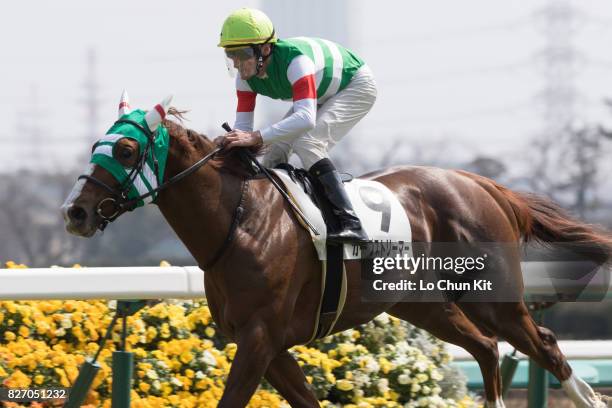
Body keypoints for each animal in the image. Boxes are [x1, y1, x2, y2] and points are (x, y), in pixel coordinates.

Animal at [63, 94, 612, 406]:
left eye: (126, 150)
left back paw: (587, 397)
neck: (241, 221)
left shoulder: (260, 337)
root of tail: (479, 183)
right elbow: (307, 400)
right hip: (423, 303)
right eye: (95, 145)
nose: (76, 212)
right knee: (485, 346)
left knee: (543, 344)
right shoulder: (265, 342)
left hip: (491, 297)